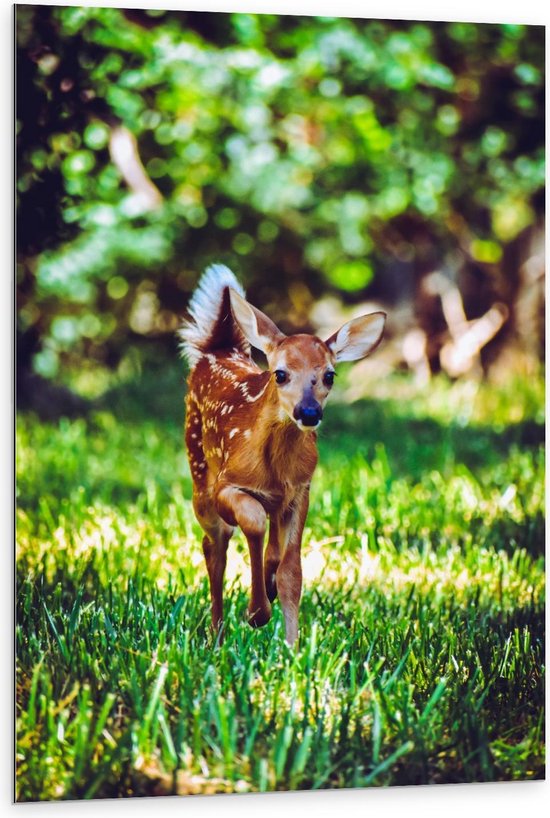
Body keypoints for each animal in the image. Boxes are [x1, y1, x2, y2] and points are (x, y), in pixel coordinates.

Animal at [179, 264, 386, 640]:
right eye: (280, 374)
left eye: (330, 376)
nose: (309, 412)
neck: (274, 470)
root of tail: (218, 350)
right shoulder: (226, 486)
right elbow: (253, 521)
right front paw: (257, 613)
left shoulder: (299, 492)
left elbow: (293, 573)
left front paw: (291, 645)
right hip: (199, 474)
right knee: (214, 546)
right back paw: (216, 635)